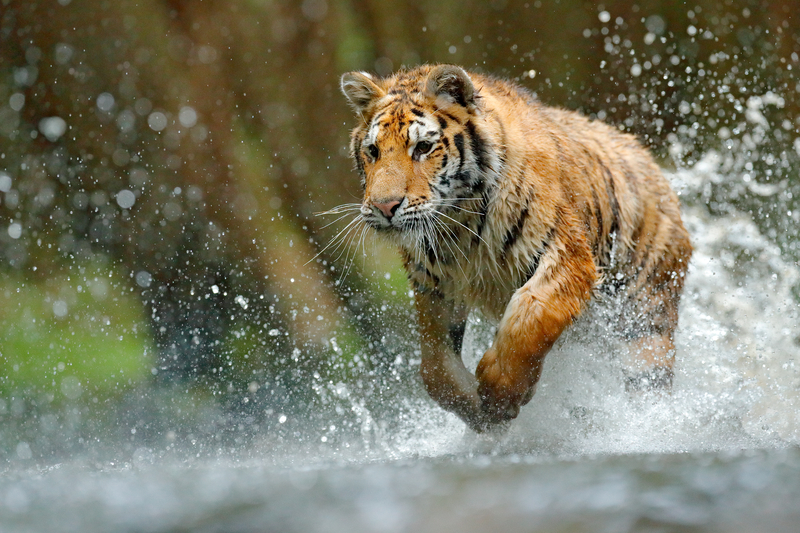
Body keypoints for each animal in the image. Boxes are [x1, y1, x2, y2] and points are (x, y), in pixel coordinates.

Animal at [339, 64, 692, 432]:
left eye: (422, 147)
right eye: (373, 151)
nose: (384, 207)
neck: (459, 223)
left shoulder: (567, 254)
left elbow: (533, 316)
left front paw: (500, 392)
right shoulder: (434, 285)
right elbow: (435, 369)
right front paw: (479, 412)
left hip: (645, 320)